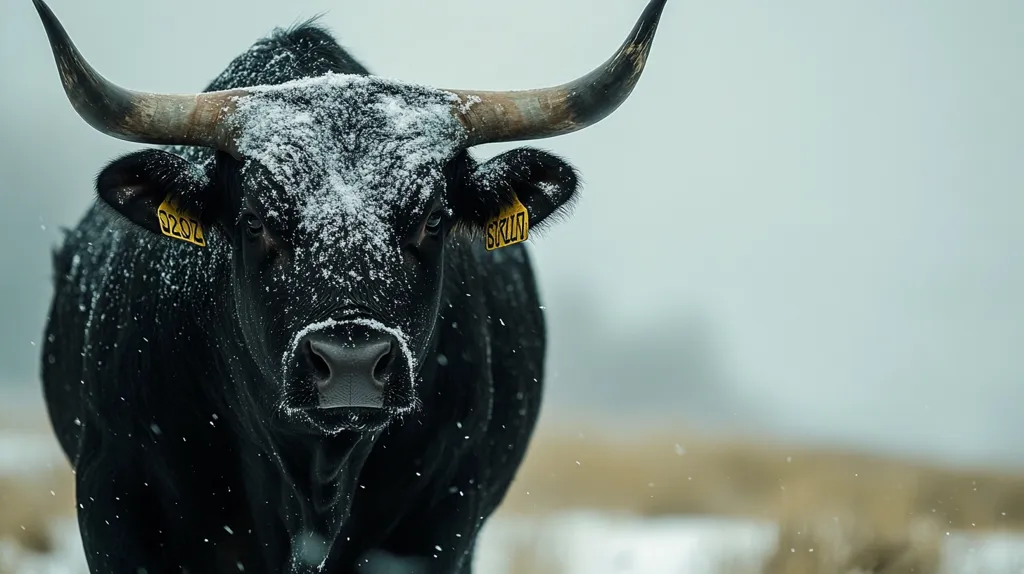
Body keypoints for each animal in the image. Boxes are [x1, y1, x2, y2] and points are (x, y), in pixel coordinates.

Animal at [32, 0, 667, 571]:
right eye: (255, 220)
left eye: (434, 218)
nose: (352, 362)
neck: (313, 482)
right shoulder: (116, 498)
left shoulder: (442, 519)